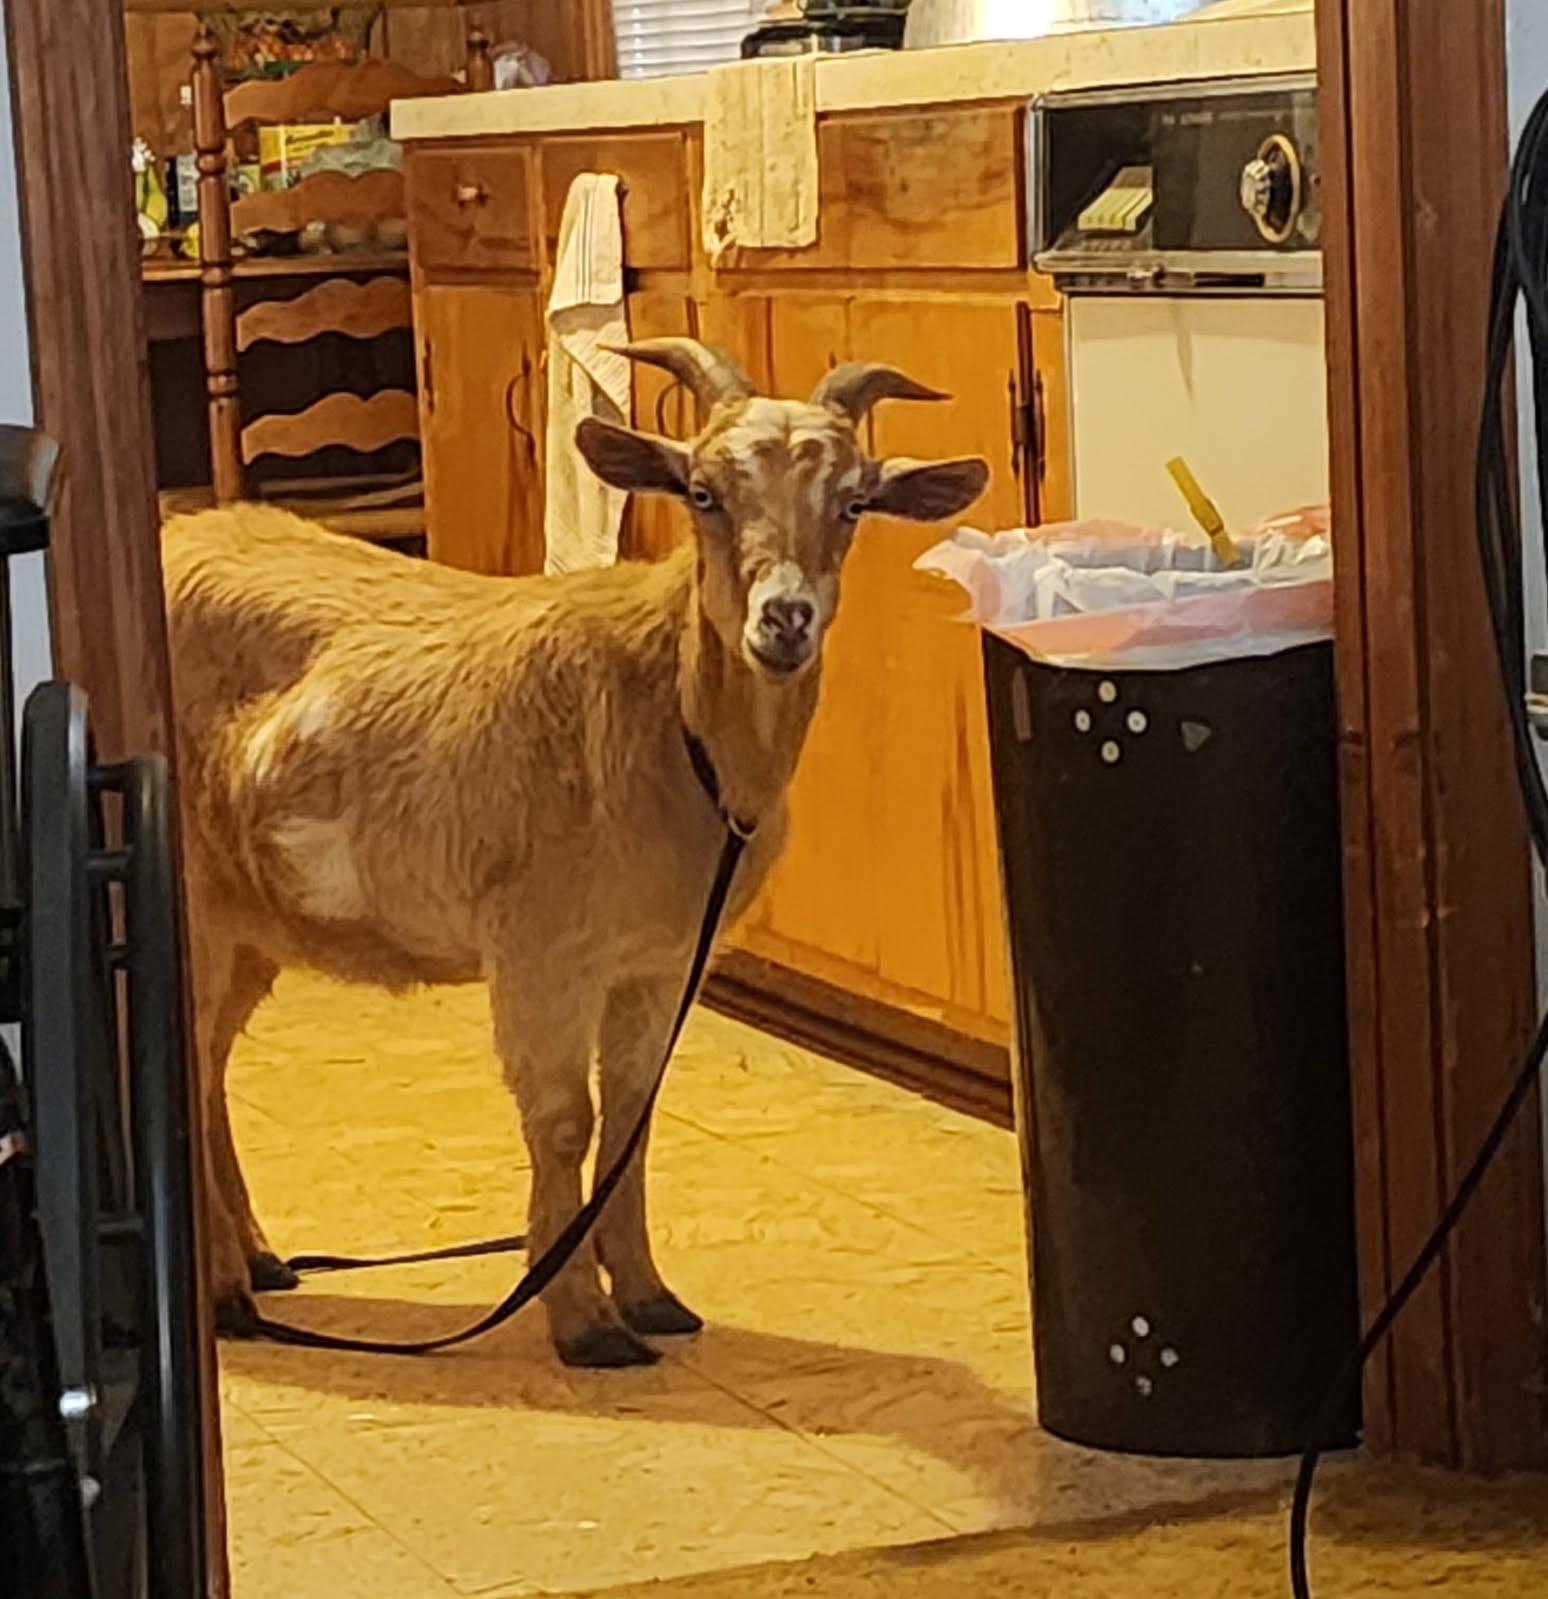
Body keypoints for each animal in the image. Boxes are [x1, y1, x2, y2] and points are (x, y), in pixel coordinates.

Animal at [163, 339, 988, 1367]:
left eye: (854, 501)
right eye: (703, 492)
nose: (784, 619)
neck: (670, 720)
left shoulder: (658, 961)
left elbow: (631, 1116)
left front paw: (649, 1296)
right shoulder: (540, 947)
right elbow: (563, 1121)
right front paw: (581, 1321)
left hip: (251, 923)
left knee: (208, 1064)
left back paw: (258, 1261)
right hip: (199, 906)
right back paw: (226, 1290)